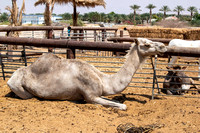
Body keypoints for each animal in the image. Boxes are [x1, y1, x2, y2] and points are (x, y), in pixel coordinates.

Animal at [7, 38, 167, 110]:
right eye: (146, 44)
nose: (163, 46)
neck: (103, 80)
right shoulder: (91, 97)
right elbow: (123, 106)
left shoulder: (98, 93)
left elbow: (117, 101)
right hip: (18, 86)